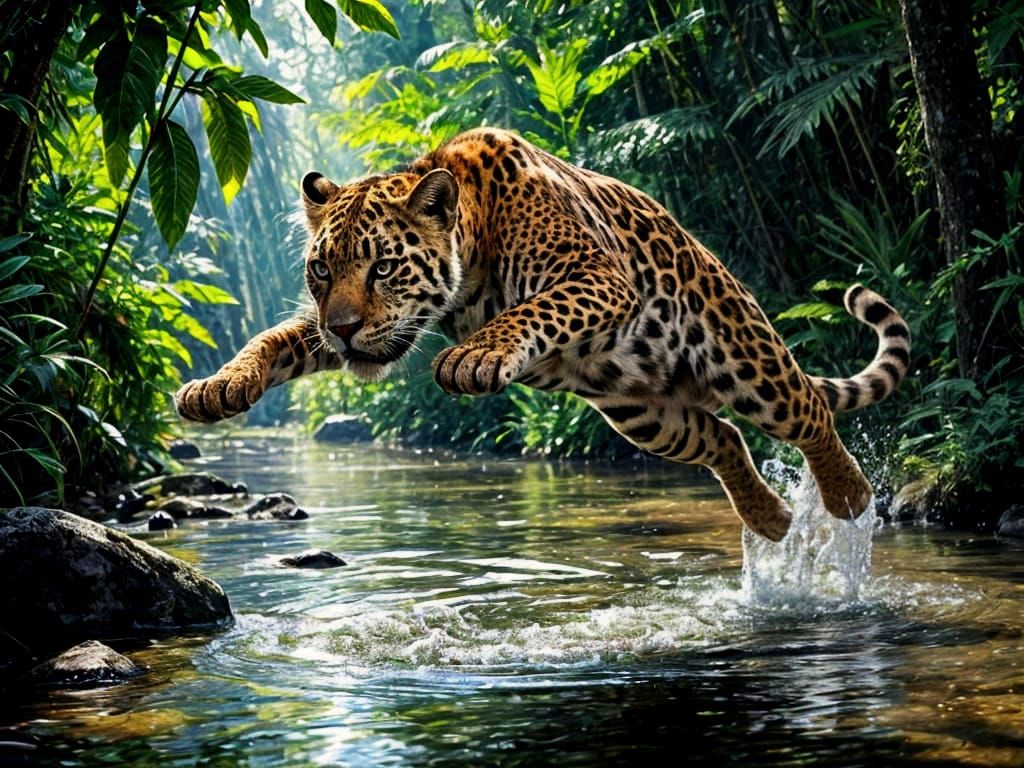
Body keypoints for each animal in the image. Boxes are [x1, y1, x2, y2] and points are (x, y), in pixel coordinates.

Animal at [175, 128, 911, 542]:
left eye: (383, 266)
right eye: (322, 270)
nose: (346, 331)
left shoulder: (600, 276)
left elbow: (532, 311)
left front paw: (475, 357)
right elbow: (275, 339)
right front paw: (217, 387)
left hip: (742, 358)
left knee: (808, 413)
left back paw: (847, 497)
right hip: (646, 415)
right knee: (725, 438)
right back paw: (770, 519)